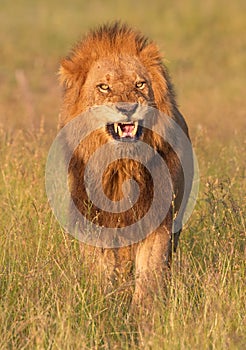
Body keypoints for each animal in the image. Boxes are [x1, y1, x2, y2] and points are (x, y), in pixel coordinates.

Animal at [58, 22, 193, 308]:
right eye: (104, 87)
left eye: (139, 84)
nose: (128, 108)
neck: (121, 167)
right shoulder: (92, 221)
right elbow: (100, 272)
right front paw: (103, 305)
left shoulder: (158, 221)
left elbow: (149, 275)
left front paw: (145, 315)